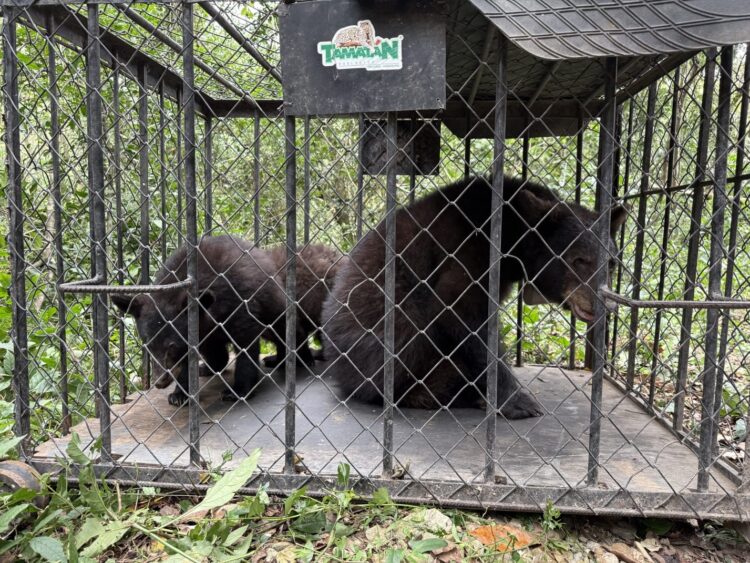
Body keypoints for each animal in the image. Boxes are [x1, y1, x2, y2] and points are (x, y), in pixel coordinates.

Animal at [112, 235, 285, 406]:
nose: (160, 381)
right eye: (149, 345)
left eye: (171, 346)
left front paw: (238, 391)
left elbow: (246, 347)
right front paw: (180, 394)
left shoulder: (241, 305)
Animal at [321, 176, 626, 419]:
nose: (607, 305)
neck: (510, 232)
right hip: (385, 340)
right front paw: (518, 401)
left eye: (612, 263)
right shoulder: (469, 253)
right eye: (579, 260)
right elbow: (459, 312)